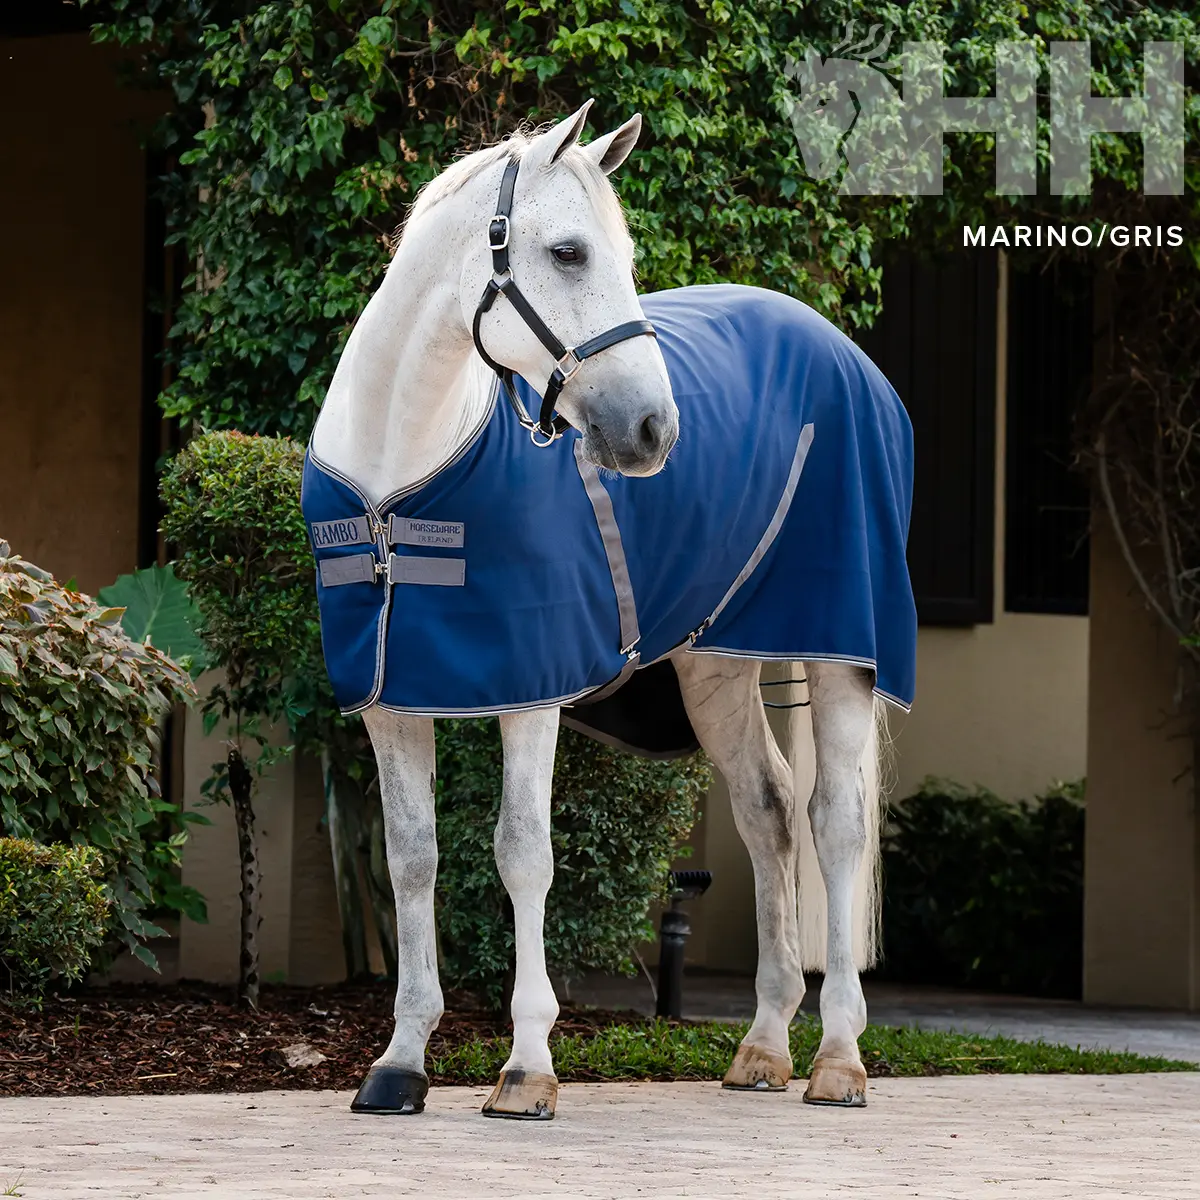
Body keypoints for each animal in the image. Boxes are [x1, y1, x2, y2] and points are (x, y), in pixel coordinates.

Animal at [303, 101, 916, 1120]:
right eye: (568, 252)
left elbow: (521, 853)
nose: (654, 432)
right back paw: (761, 1047)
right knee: (768, 811)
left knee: (834, 822)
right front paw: (399, 1062)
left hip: (842, 649)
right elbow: (411, 857)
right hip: (717, 663)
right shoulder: (391, 697)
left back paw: (837, 1059)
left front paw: (525, 1068)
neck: (402, 479)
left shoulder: (529, 693)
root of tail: (846, 354)